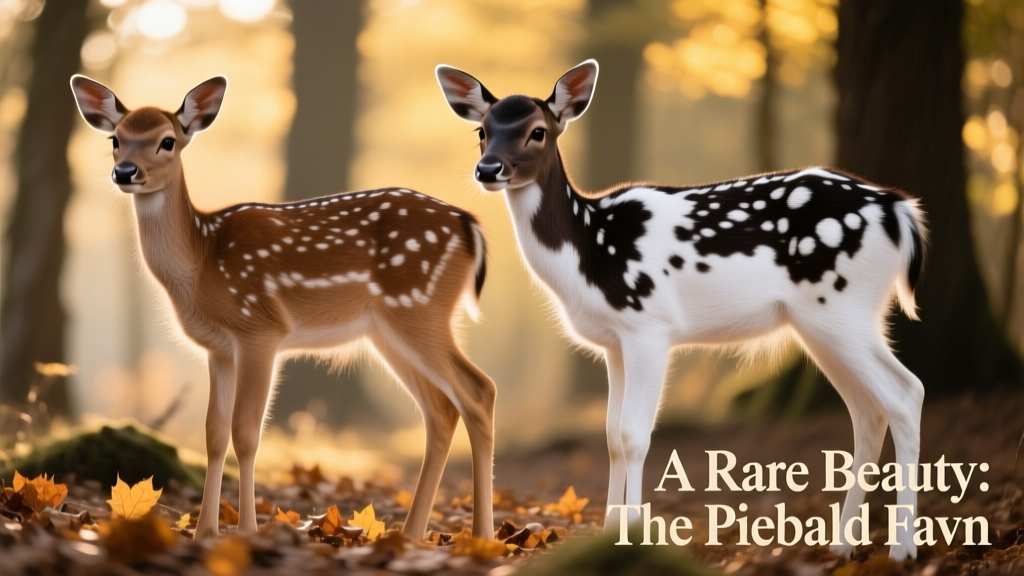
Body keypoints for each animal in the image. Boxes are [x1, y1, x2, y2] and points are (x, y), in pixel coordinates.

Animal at [70, 75, 496, 541]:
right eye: (116, 138)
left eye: (167, 141)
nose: (125, 172)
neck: (202, 262)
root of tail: (470, 226)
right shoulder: (218, 349)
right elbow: (213, 434)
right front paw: (204, 533)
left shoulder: (259, 329)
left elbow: (246, 432)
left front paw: (246, 531)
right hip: (388, 331)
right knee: (440, 410)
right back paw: (411, 535)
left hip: (420, 307)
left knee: (479, 390)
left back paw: (483, 537)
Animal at [436, 60, 927, 560]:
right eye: (482, 129)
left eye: (538, 131)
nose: (489, 168)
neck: (589, 253)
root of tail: (900, 211)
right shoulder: (614, 344)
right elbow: (612, 438)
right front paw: (610, 533)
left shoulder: (649, 326)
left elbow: (634, 436)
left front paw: (633, 535)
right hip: (825, 323)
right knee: (868, 413)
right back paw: (841, 546)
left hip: (843, 306)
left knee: (906, 393)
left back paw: (902, 549)